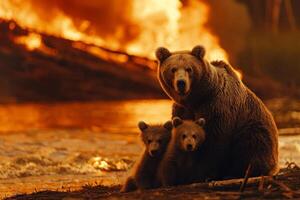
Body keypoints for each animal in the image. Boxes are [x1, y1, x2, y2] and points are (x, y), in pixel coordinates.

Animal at [156, 45, 278, 180]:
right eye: (173, 69)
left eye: (189, 69)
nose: (181, 83)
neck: (196, 98)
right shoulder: (182, 109)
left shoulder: (216, 106)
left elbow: (214, 142)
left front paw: (204, 174)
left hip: (254, 131)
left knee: (251, 148)